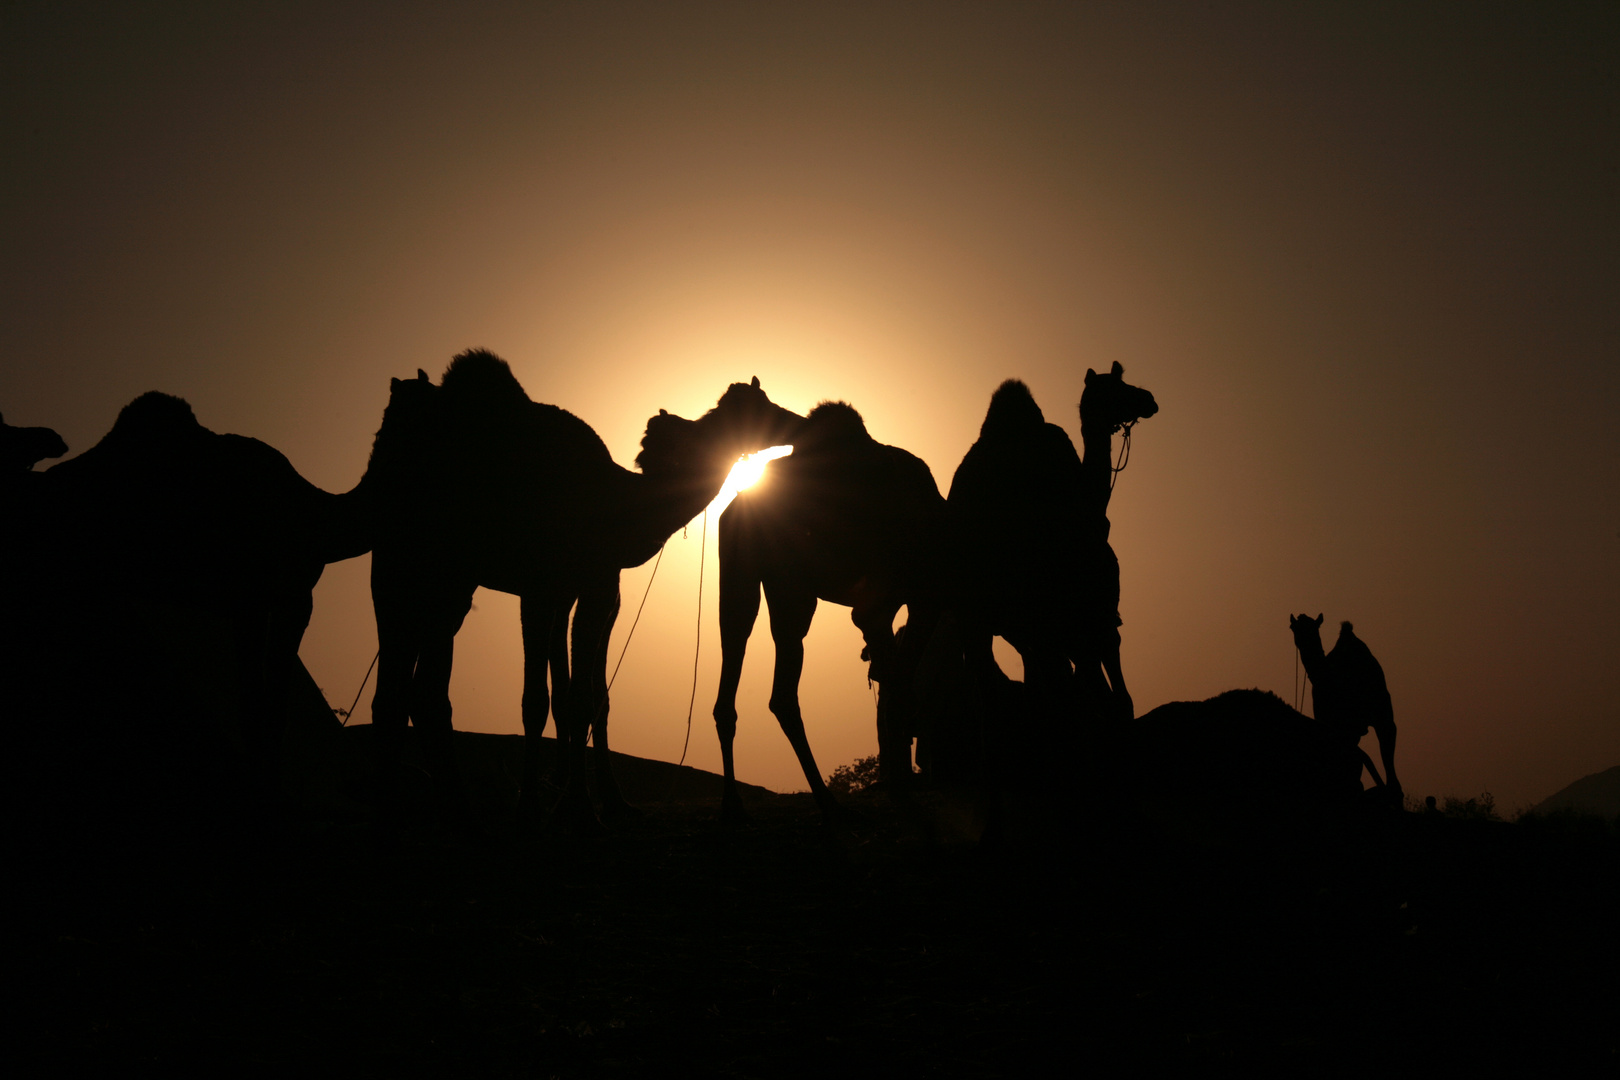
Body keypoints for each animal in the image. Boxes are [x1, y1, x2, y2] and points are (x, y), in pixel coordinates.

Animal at [364, 348, 800, 829]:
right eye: (762, 407)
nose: (796, 422)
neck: (618, 500)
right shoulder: (543, 585)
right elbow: (542, 700)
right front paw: (547, 806)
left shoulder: (598, 587)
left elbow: (590, 697)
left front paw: (608, 802)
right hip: (408, 563)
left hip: (436, 577)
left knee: (407, 687)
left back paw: (420, 804)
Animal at [712, 401, 946, 822]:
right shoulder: (914, 595)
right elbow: (898, 690)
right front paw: (901, 791)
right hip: (793, 586)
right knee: (782, 689)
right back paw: (829, 800)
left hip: (757, 577)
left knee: (742, 656)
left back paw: (736, 803)